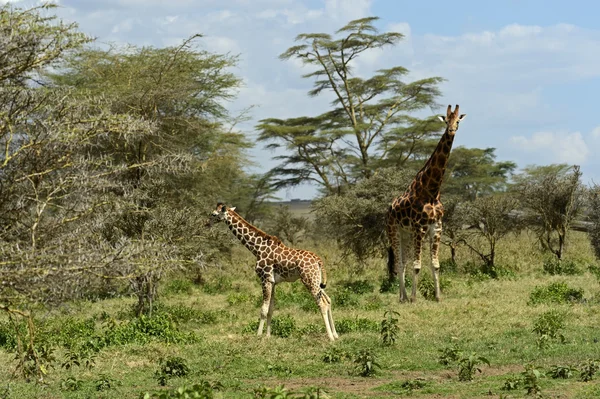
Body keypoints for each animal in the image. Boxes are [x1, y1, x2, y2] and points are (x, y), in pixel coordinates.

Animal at [207, 205, 338, 342]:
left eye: (213, 214)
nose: (206, 223)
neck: (257, 248)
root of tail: (318, 260)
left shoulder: (265, 279)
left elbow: (263, 310)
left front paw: (258, 336)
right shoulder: (273, 282)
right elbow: (271, 309)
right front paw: (268, 335)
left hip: (309, 280)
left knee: (322, 303)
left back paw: (330, 337)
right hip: (316, 281)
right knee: (328, 300)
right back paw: (335, 334)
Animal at [386, 104, 466, 302]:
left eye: (457, 121)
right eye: (446, 121)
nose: (451, 130)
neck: (432, 191)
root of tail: (389, 208)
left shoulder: (436, 226)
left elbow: (435, 264)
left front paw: (438, 296)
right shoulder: (420, 227)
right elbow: (417, 265)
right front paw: (415, 298)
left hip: (406, 233)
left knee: (403, 262)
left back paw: (403, 296)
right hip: (394, 230)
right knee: (399, 263)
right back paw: (403, 298)